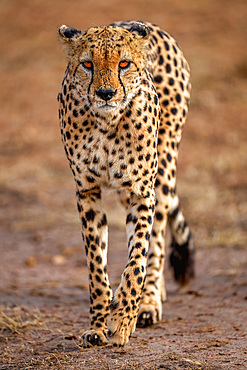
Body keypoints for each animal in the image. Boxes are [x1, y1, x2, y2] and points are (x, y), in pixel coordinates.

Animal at [58, 21, 195, 346]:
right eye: (87, 64)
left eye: (124, 64)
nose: (106, 93)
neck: (107, 123)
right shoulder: (87, 191)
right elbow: (96, 265)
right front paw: (97, 326)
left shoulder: (142, 192)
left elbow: (137, 259)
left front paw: (123, 319)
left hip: (163, 170)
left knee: (157, 241)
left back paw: (149, 302)